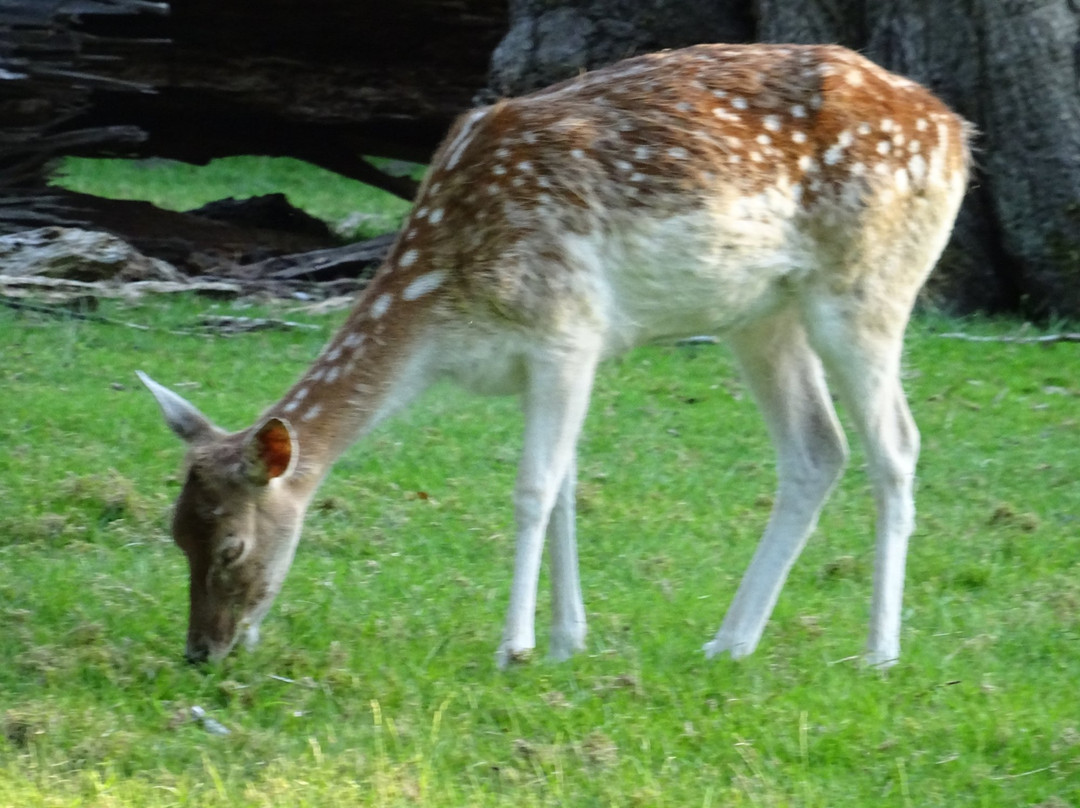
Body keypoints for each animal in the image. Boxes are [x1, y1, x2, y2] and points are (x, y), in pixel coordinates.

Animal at [139, 42, 976, 669]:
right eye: (175, 535)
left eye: (231, 547)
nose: (202, 653)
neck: (444, 308)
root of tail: (957, 130)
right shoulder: (541, 361)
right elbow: (569, 488)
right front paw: (569, 640)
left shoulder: (567, 327)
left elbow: (533, 490)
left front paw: (514, 646)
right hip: (760, 315)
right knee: (817, 449)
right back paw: (730, 642)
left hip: (866, 284)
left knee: (897, 445)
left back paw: (878, 652)